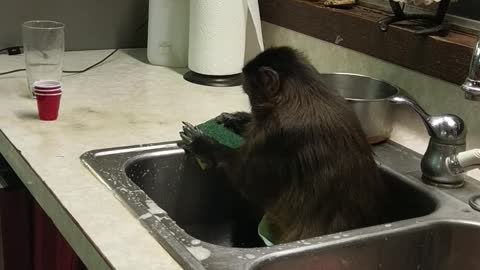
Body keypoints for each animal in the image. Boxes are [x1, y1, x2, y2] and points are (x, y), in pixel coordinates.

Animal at [180, 47, 386, 245]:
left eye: (250, 94)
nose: (252, 108)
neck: (302, 94)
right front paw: (235, 119)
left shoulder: (278, 134)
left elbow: (246, 179)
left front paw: (202, 143)